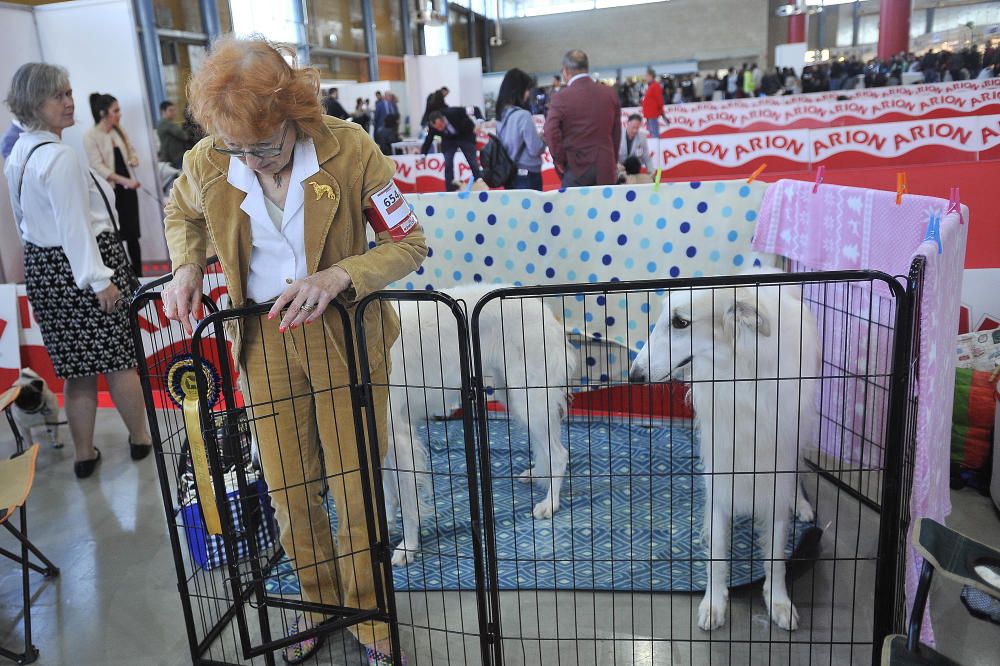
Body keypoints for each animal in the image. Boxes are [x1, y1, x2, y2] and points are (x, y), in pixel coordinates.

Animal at [380, 282, 576, 564]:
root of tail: (548, 314)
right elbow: (388, 493)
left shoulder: (399, 437)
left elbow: (407, 502)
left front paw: (407, 547)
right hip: (513, 394)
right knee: (546, 449)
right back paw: (537, 474)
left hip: (529, 397)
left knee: (559, 454)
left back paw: (550, 503)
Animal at [632, 268, 820, 628]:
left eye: (680, 322)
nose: (633, 375)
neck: (741, 379)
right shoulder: (721, 469)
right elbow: (718, 550)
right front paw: (714, 603)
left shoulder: (775, 468)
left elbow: (776, 554)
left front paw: (778, 601)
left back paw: (802, 504)